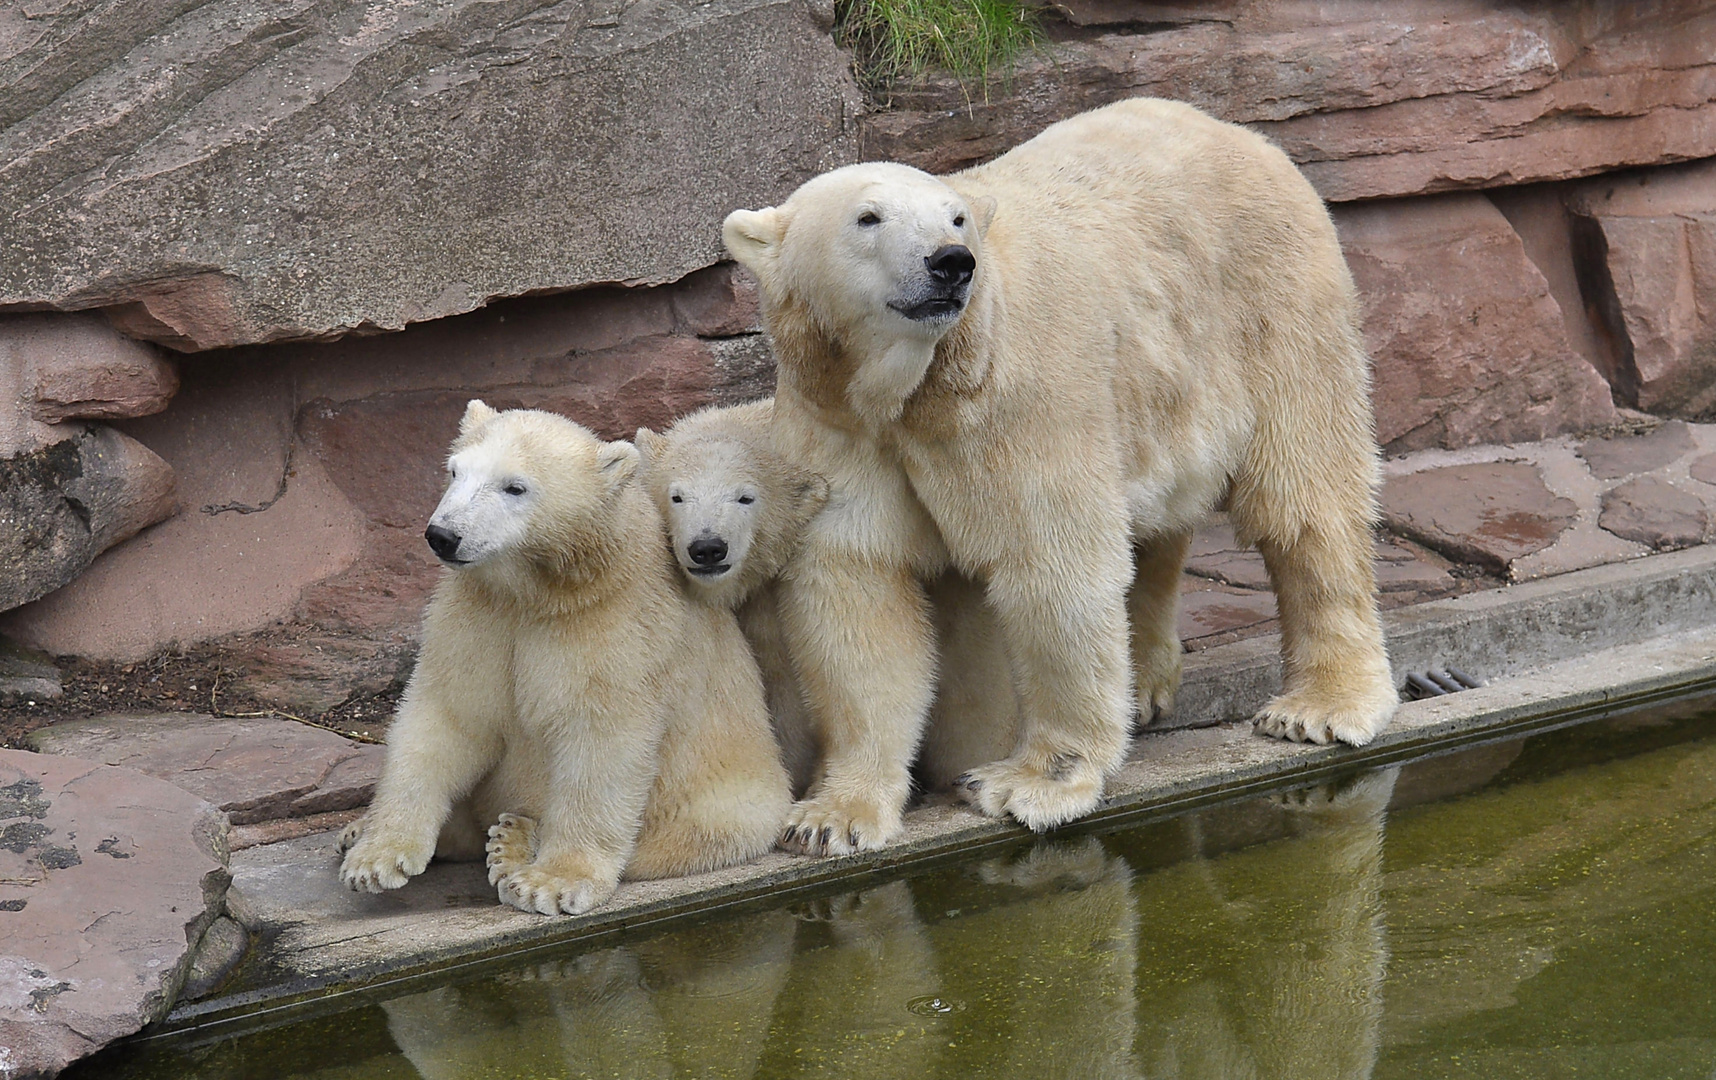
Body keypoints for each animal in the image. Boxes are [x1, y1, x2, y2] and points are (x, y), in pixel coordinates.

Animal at [724, 97, 1393, 851]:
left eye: (956, 217)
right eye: (868, 217)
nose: (951, 264)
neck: (913, 390)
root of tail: (1241, 134)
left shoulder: (1015, 403)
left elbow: (1054, 567)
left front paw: (1033, 782)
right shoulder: (837, 425)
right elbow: (858, 593)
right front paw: (831, 817)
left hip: (1271, 308)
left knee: (1304, 495)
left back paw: (1322, 705)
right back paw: (1146, 680)